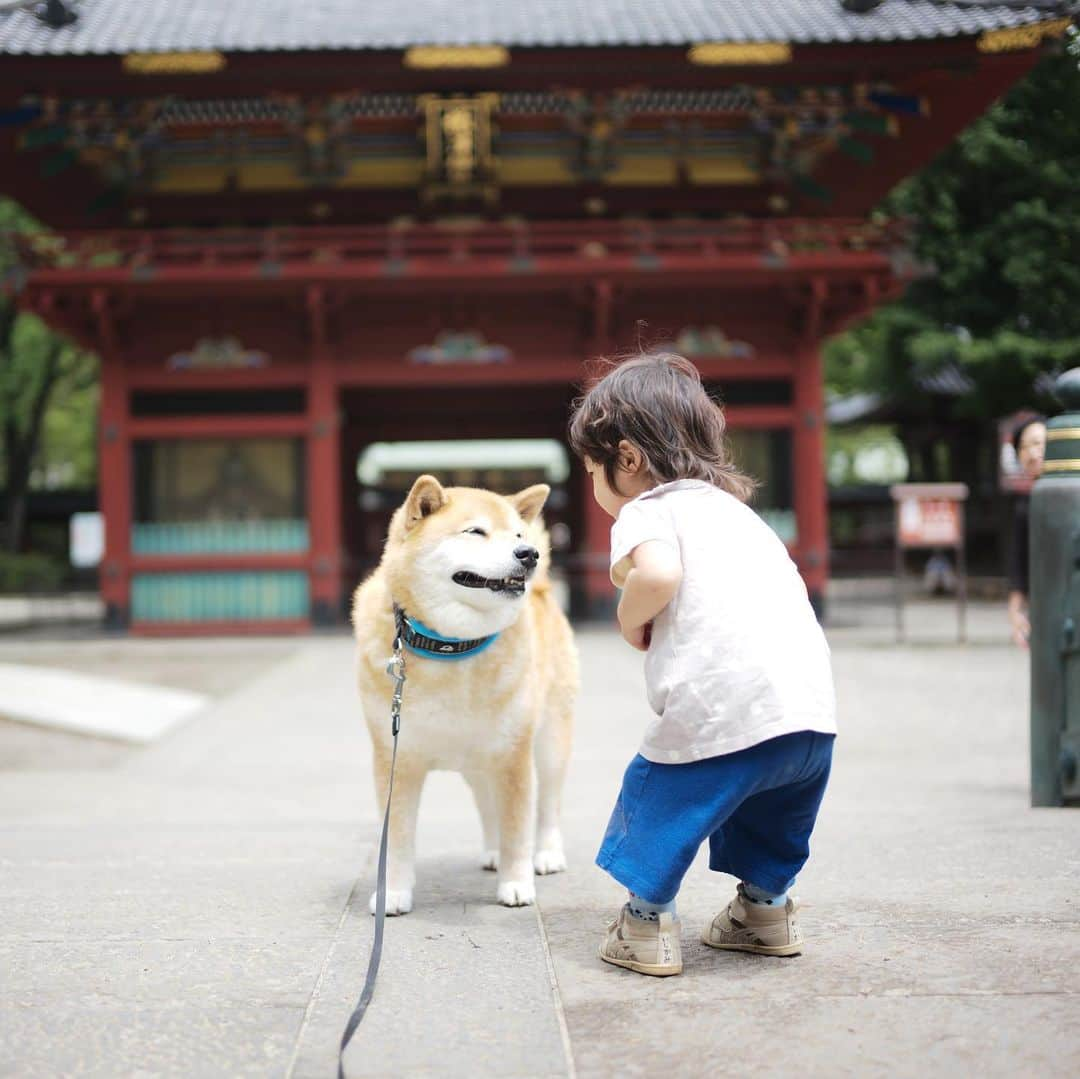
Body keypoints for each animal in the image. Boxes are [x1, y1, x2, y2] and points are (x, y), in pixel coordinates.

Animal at [352, 475, 574, 911]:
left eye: (517, 534)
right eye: (475, 532)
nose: (529, 554)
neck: (450, 646)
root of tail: (544, 591)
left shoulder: (514, 755)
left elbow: (518, 825)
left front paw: (516, 883)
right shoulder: (395, 757)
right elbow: (397, 838)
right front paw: (394, 893)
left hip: (549, 743)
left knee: (549, 805)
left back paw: (547, 854)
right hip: (478, 763)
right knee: (488, 805)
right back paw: (492, 852)